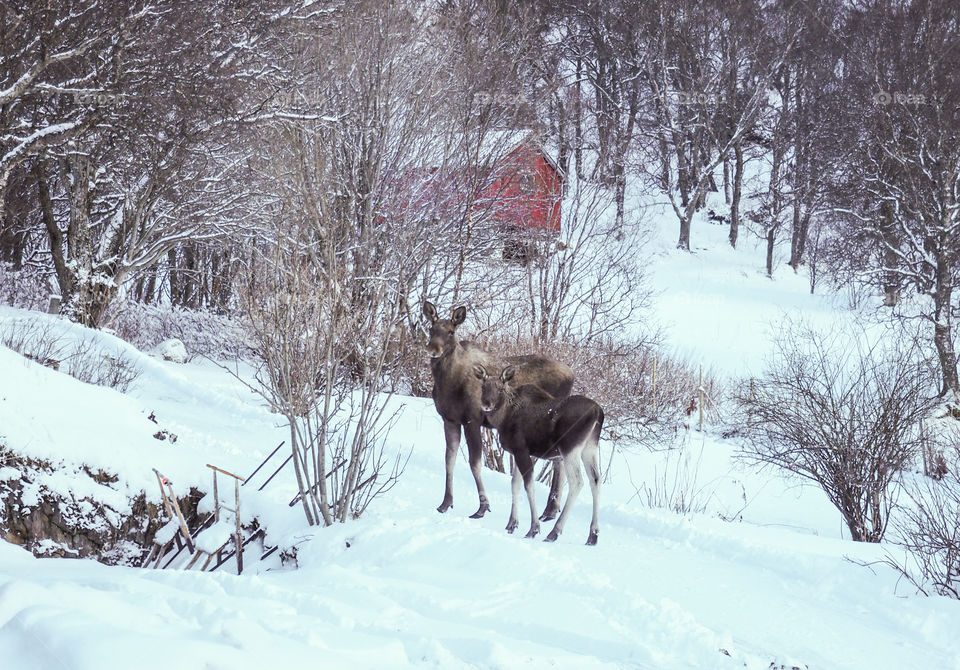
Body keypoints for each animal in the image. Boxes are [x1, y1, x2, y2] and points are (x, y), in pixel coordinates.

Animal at [420, 304, 568, 520]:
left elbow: (475, 463)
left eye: (451, 331)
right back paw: (550, 510)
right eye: (431, 329)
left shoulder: (472, 420)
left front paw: (482, 507)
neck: (447, 382)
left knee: (560, 462)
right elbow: (449, 459)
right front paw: (446, 502)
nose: (433, 350)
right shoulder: (450, 419)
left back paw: (551, 510)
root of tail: (572, 374)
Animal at [472, 364, 600, 544]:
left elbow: (528, 486)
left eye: (500, 388)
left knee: (577, 482)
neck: (502, 419)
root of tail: (598, 412)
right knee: (595, 480)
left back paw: (554, 531)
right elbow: (515, 484)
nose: (486, 404)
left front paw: (533, 528)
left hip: (570, 449)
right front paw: (512, 523)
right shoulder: (519, 452)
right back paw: (593, 535)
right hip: (590, 447)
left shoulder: (522, 450)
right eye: (483, 386)